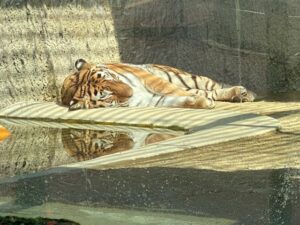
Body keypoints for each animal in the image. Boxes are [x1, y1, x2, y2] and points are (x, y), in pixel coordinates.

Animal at [61, 58, 255, 110]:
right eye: (107, 96)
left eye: (112, 79)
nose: (131, 92)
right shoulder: (152, 100)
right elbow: (178, 99)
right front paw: (201, 103)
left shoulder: (151, 80)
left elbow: (173, 91)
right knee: (206, 91)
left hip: (182, 77)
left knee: (213, 86)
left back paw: (245, 93)